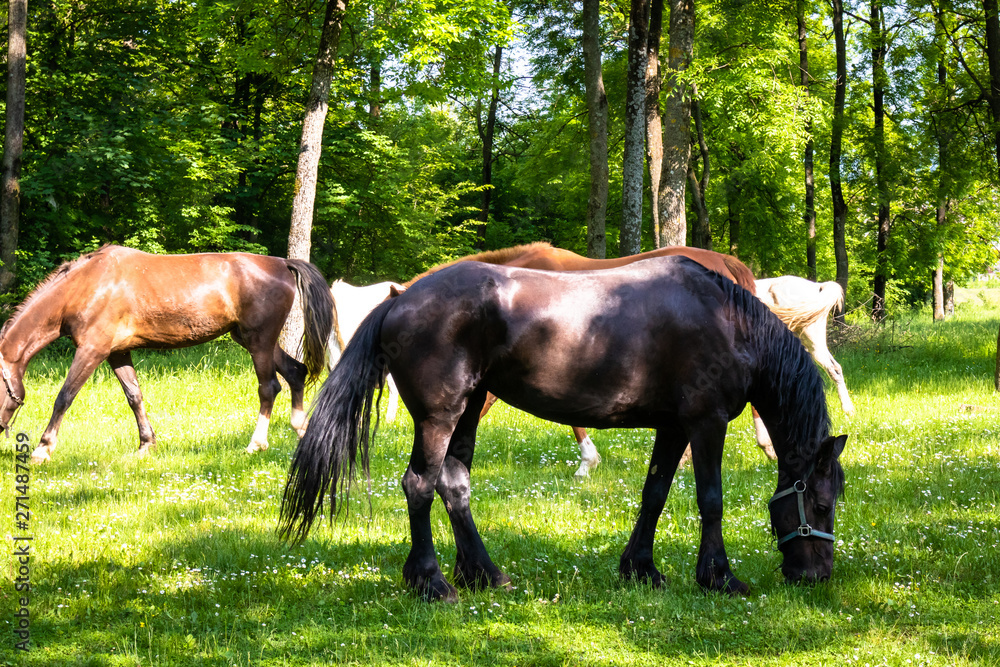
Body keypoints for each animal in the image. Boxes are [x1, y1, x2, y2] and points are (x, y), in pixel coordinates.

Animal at [0, 245, 334, 463]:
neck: (85, 286)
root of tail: (282, 263)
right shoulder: (117, 353)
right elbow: (134, 397)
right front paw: (146, 445)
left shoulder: (92, 350)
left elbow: (65, 396)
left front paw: (43, 448)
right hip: (250, 339)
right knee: (295, 372)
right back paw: (301, 431)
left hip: (259, 341)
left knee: (269, 387)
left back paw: (256, 444)